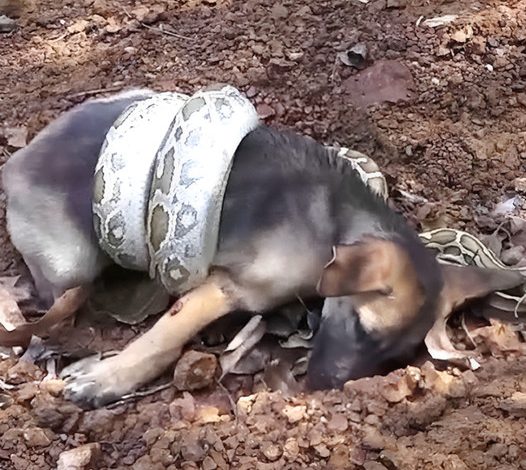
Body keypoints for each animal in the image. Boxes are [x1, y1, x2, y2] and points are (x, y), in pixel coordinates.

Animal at [1, 89, 524, 408]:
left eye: (393, 358)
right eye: (360, 326)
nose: (323, 389)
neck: (333, 226)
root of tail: (15, 163)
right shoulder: (226, 288)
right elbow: (164, 336)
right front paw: (110, 377)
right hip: (71, 265)